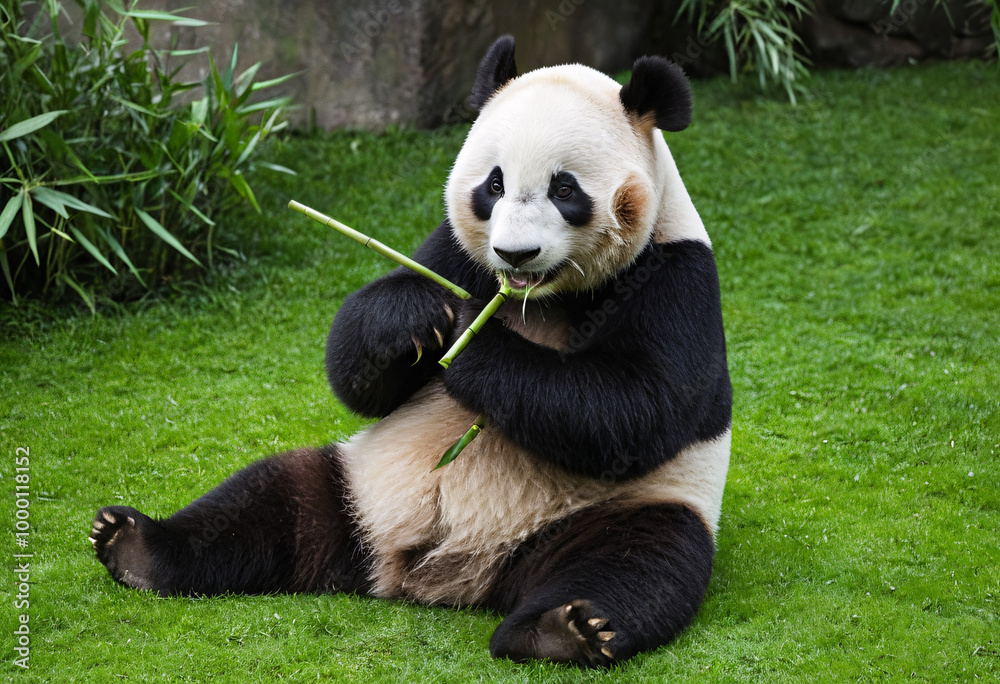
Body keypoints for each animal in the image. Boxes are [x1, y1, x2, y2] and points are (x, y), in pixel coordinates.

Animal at [90, 35, 731, 668]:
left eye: (565, 189)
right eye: (494, 185)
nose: (514, 254)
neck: (540, 299)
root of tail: (436, 575)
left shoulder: (674, 275)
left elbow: (634, 407)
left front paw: (471, 338)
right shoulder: (453, 250)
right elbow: (359, 368)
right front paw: (417, 318)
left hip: (619, 507)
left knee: (640, 560)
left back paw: (561, 628)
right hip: (359, 483)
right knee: (268, 499)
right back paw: (134, 545)